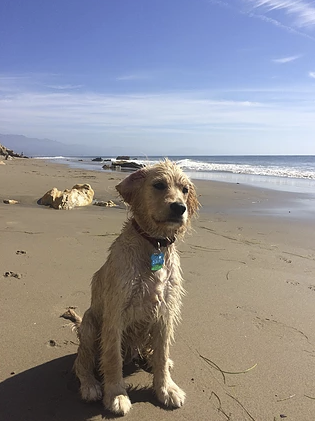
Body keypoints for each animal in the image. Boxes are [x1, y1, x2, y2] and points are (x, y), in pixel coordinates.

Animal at [73, 159, 199, 416]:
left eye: (185, 190)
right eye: (159, 185)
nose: (179, 208)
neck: (154, 244)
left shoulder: (166, 311)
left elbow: (162, 354)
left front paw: (166, 388)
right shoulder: (116, 312)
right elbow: (112, 358)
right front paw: (116, 394)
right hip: (90, 325)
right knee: (82, 362)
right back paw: (90, 385)